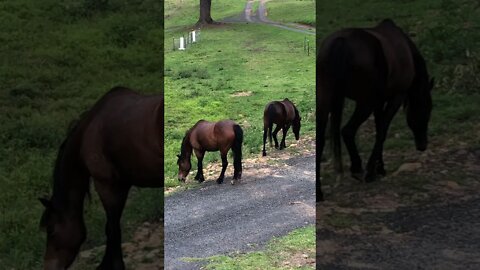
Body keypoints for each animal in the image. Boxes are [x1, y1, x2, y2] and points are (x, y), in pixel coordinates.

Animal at [38, 87, 165, 270]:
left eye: (51, 230)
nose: (48, 266)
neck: (88, 131)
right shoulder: (122, 185)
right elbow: (113, 227)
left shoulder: (107, 185)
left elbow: (112, 228)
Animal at [316, 18, 434, 200]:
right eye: (427, 111)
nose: (422, 145)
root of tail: (341, 42)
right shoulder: (396, 97)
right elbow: (382, 131)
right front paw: (373, 171)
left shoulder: (380, 102)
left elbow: (379, 127)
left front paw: (380, 167)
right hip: (365, 103)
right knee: (348, 130)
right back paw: (357, 168)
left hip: (326, 101)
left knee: (322, 139)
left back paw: (319, 192)